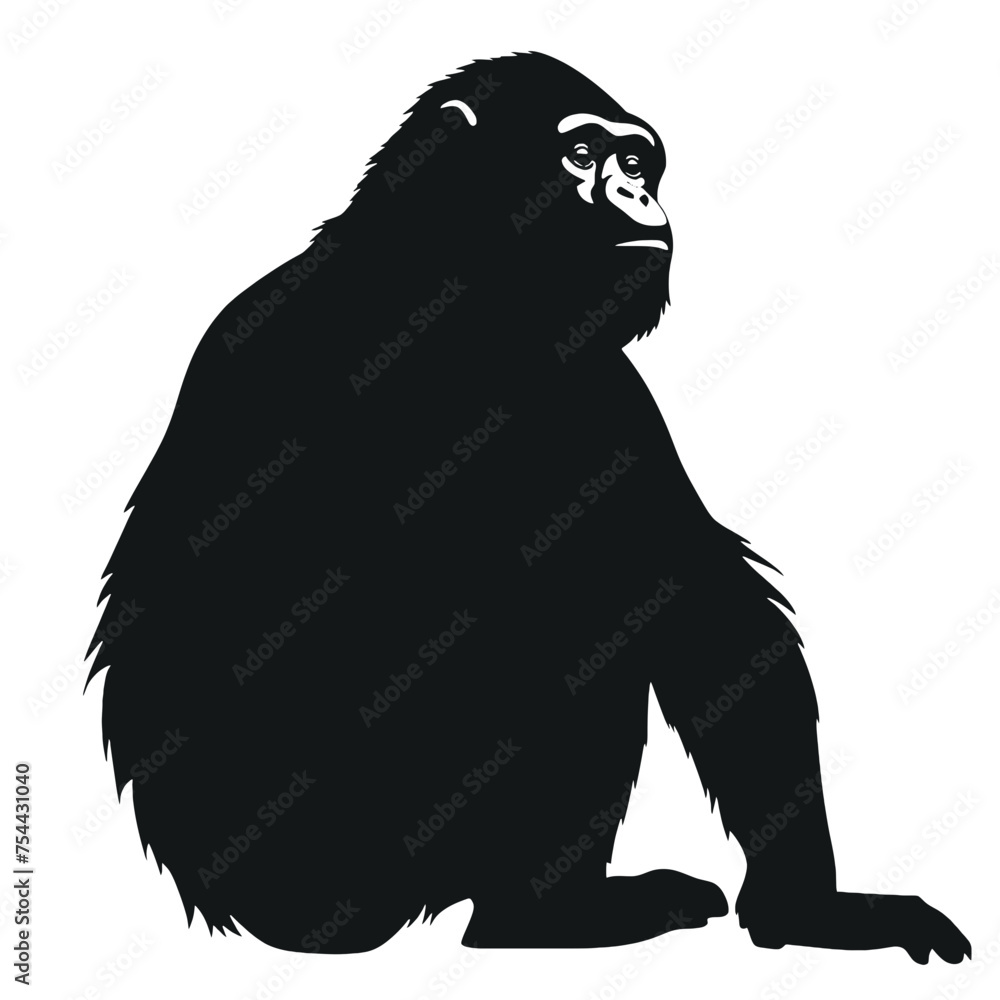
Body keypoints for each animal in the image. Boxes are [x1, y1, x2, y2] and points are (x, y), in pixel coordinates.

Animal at [86, 52, 970, 963]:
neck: (466, 296)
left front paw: (809, 907)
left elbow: (695, 594)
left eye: (635, 160)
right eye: (581, 154)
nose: (637, 193)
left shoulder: (608, 385)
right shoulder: (288, 339)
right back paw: (541, 917)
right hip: (320, 861)